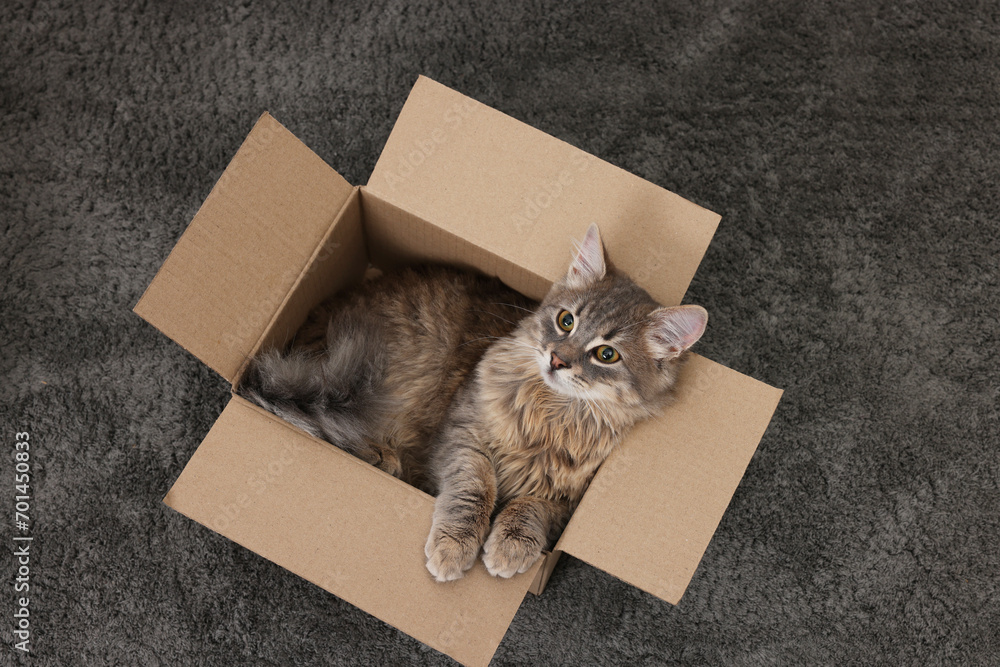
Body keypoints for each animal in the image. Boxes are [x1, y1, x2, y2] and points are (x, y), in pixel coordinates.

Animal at [240, 223, 712, 580]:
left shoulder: (567, 501)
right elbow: (476, 488)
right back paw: (380, 457)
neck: (551, 412)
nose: (557, 359)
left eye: (607, 355)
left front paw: (509, 547)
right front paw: (454, 547)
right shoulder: (461, 435)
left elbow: (529, 507)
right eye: (566, 321)